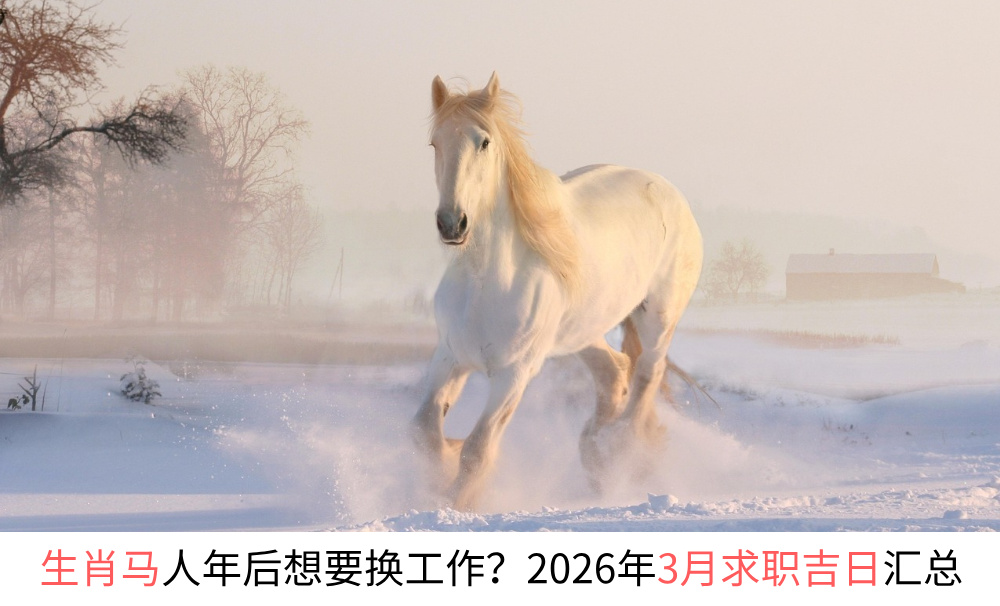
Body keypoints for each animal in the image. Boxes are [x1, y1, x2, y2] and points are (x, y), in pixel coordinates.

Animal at [412, 73, 703, 510]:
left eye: (484, 142)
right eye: (435, 143)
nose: (452, 223)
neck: (486, 283)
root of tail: (670, 193)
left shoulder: (514, 374)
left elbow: (478, 450)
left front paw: (457, 501)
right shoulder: (450, 357)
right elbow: (425, 432)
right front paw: (443, 469)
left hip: (658, 318)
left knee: (647, 376)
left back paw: (621, 452)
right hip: (582, 331)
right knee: (614, 372)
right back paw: (596, 455)